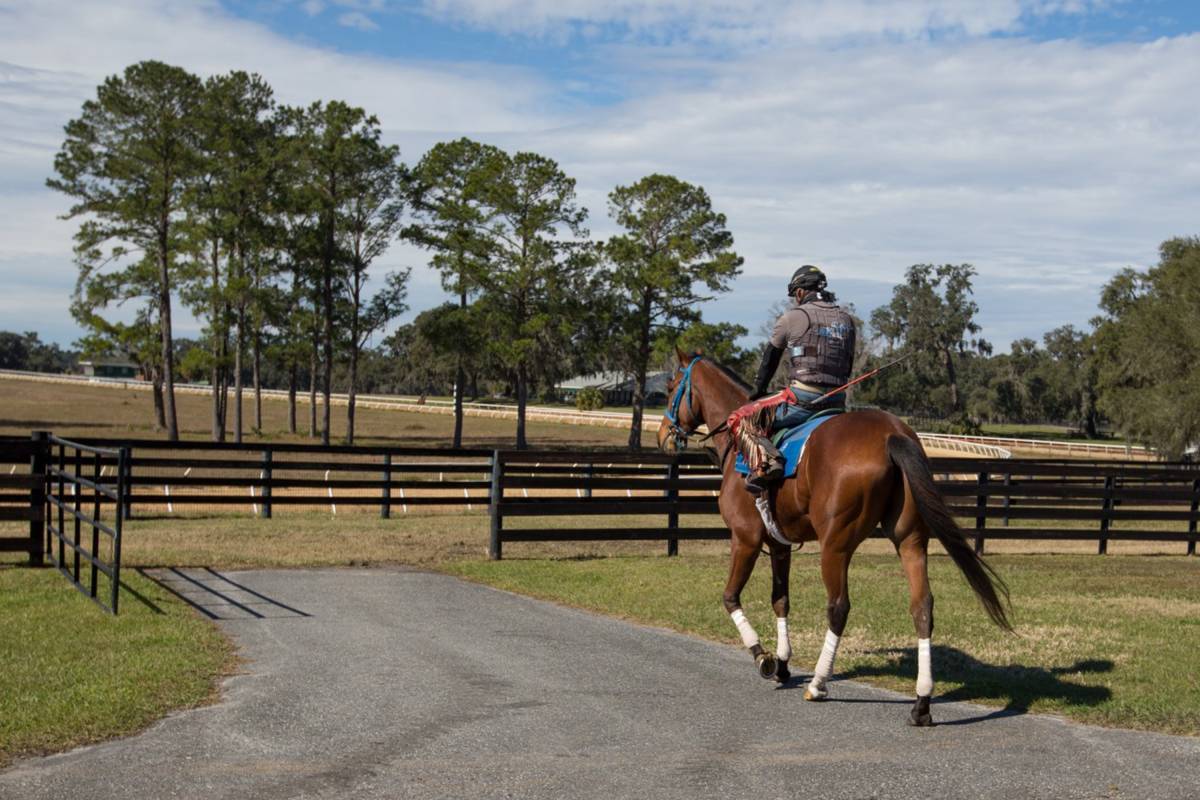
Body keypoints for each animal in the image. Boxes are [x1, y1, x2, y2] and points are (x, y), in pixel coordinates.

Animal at [657, 350, 1012, 724]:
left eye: (670, 387)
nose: (664, 433)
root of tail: (891, 434)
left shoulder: (746, 539)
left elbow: (730, 597)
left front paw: (764, 657)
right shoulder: (779, 546)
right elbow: (780, 600)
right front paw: (783, 663)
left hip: (835, 546)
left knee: (839, 607)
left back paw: (818, 683)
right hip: (910, 540)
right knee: (922, 607)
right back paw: (921, 702)